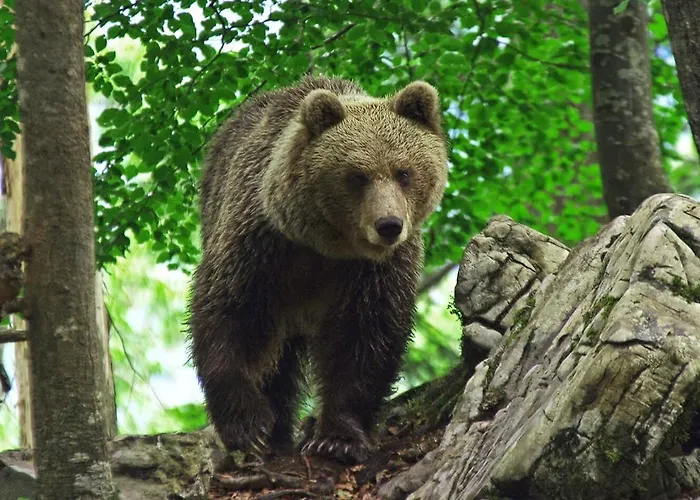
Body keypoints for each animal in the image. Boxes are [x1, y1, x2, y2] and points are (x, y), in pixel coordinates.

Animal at [187, 75, 448, 463]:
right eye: (357, 175)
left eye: (404, 172)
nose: (388, 225)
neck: (326, 245)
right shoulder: (261, 245)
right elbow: (230, 313)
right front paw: (249, 426)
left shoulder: (372, 271)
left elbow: (364, 336)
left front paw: (337, 438)